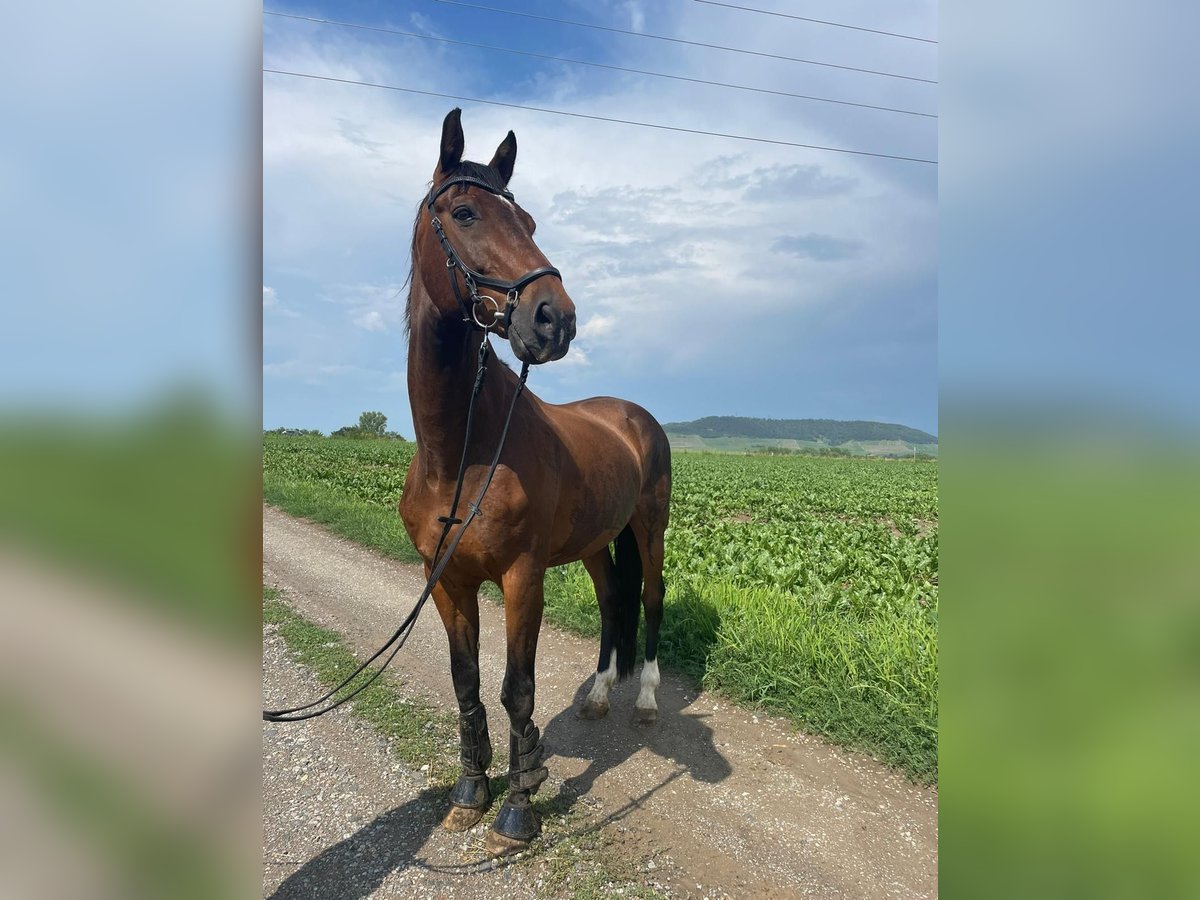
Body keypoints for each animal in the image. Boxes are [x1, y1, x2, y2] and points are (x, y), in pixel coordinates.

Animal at [398, 109, 672, 854]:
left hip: (650, 528)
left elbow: (517, 688)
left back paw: (643, 701)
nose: (555, 318)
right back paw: (600, 695)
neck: (460, 454)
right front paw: (471, 791)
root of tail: (634, 415)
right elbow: (467, 683)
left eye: (529, 220)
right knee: (612, 601)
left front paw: (520, 807)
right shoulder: (447, 579)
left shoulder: (522, 576)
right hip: (595, 545)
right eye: (464, 212)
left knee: (651, 599)